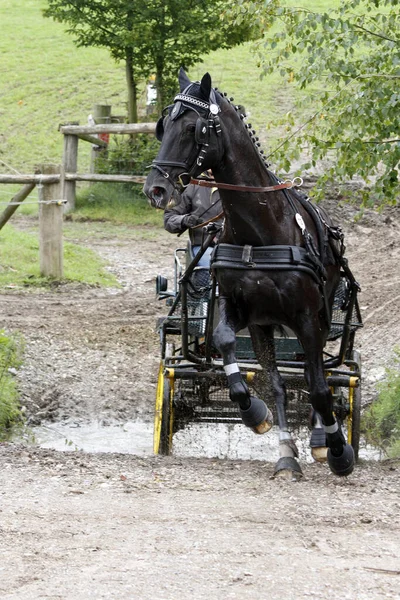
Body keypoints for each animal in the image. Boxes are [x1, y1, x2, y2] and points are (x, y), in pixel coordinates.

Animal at [142, 68, 354, 476]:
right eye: (163, 126)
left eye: (193, 128)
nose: (155, 189)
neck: (259, 229)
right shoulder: (240, 307)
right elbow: (227, 345)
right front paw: (255, 414)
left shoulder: (306, 316)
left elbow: (320, 388)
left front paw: (337, 449)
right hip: (265, 325)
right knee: (280, 383)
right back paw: (286, 454)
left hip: (317, 319)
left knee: (317, 376)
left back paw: (322, 439)